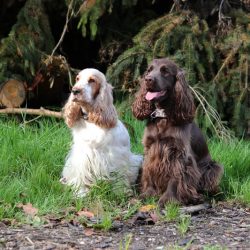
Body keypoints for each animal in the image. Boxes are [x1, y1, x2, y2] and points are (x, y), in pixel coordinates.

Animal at [60, 69, 142, 197]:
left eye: (92, 80)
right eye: (77, 79)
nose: (75, 90)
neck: (91, 121)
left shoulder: (116, 156)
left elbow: (119, 176)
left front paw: (120, 192)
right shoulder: (82, 155)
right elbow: (81, 175)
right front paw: (81, 192)